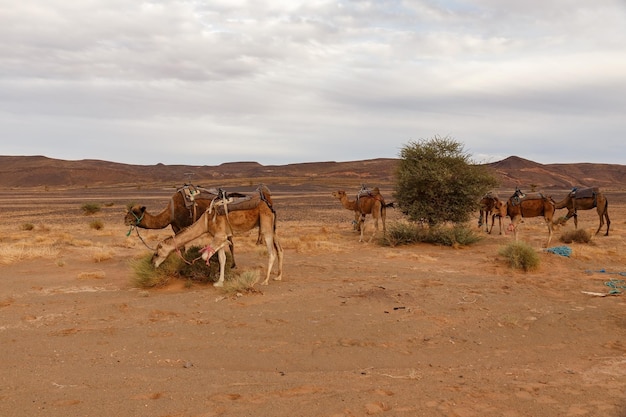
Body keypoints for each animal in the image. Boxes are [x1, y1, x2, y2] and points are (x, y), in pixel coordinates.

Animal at [150, 192, 282, 286]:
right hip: (272, 227)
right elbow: (221, 259)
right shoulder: (218, 236)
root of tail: (269, 205)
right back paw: (278, 276)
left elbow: (205, 256)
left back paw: (265, 281)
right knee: (280, 250)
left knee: (272, 252)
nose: (152, 263)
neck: (205, 222)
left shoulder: (219, 235)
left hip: (265, 225)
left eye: (156, 253)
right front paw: (219, 282)